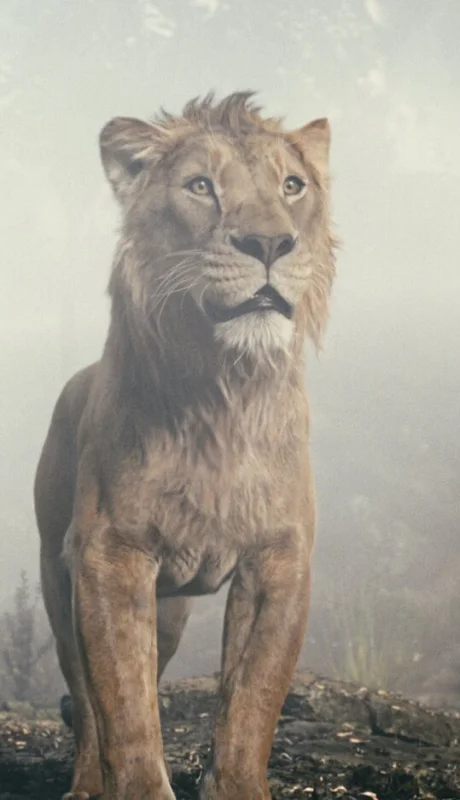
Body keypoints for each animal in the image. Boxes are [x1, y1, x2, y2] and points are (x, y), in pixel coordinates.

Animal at [34, 91, 336, 800]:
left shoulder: (280, 558)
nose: (269, 242)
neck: (224, 392)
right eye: (201, 187)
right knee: (85, 699)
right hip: (58, 577)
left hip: (169, 611)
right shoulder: (109, 555)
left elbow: (252, 701)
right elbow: (124, 708)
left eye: (293, 186)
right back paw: (86, 782)